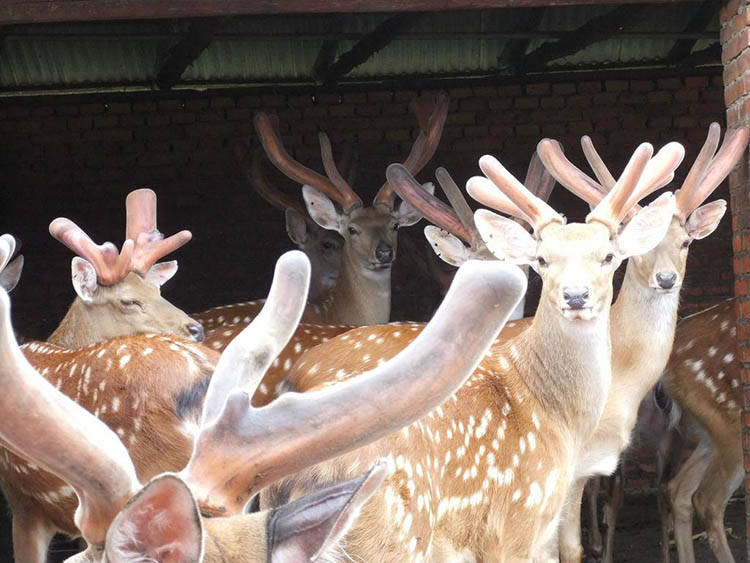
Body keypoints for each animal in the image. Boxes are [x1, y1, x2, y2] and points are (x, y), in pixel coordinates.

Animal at [536, 124, 748, 563]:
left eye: (685, 241)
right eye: (638, 248)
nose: (667, 278)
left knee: (680, 491)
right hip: (728, 424)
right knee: (705, 498)